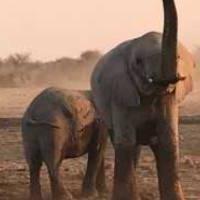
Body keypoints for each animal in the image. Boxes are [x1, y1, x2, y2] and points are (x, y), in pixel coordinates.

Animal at [90, 0, 195, 200]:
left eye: (178, 57)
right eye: (138, 62)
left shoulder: (168, 100)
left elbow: (168, 141)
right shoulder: (120, 94)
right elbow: (126, 143)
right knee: (127, 145)